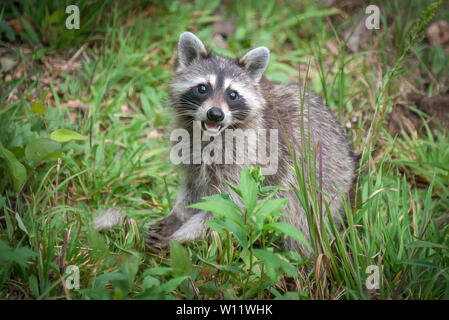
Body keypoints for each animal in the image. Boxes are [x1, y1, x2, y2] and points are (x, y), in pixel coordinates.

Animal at [147, 31, 356, 252]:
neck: (210, 135)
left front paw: (181, 235)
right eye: (202, 88)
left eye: (232, 94)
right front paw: (177, 216)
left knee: (302, 223)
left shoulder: (245, 163)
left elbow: (227, 209)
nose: (215, 114)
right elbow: (193, 192)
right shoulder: (190, 155)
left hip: (325, 184)